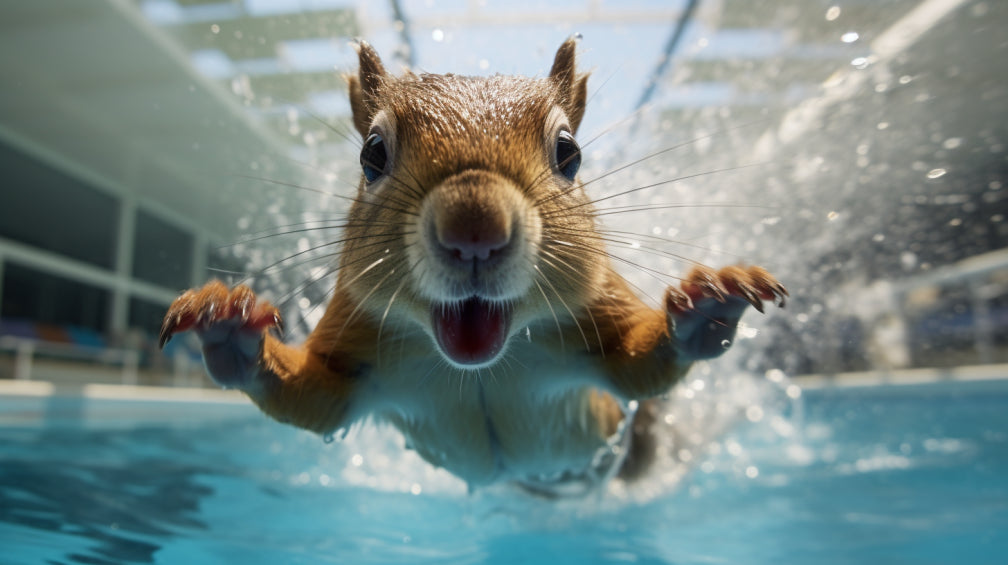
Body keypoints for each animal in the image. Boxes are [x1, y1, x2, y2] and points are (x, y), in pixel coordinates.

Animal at [159, 37, 786, 495]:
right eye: (371, 154)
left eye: (569, 153)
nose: (474, 230)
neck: (480, 367)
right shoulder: (354, 343)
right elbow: (313, 398)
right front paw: (228, 328)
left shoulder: (599, 316)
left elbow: (640, 365)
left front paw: (708, 306)